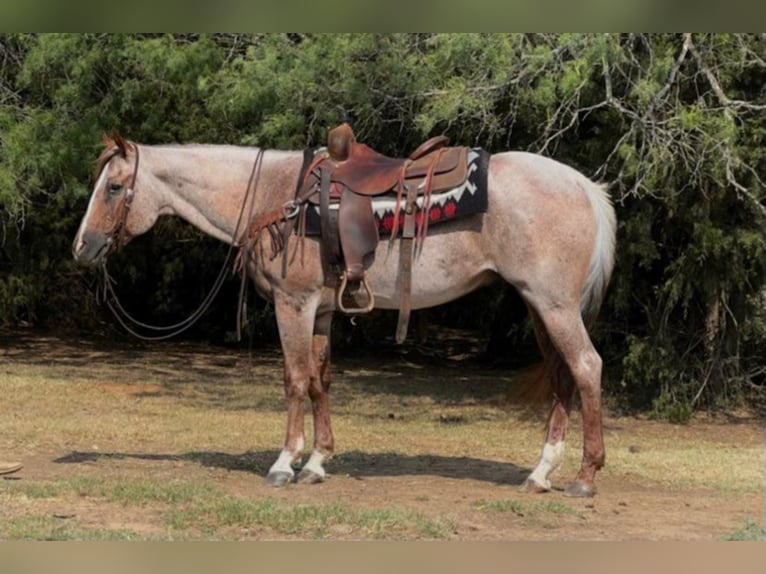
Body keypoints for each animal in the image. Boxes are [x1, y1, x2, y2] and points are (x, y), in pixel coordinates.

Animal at [73, 130, 616, 500]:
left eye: (115, 187)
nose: (82, 247)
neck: (274, 196)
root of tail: (586, 187)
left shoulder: (293, 304)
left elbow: (294, 380)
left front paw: (284, 462)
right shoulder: (318, 312)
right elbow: (320, 380)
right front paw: (317, 462)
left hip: (554, 304)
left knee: (587, 368)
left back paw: (585, 476)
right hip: (538, 305)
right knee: (562, 376)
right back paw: (541, 473)